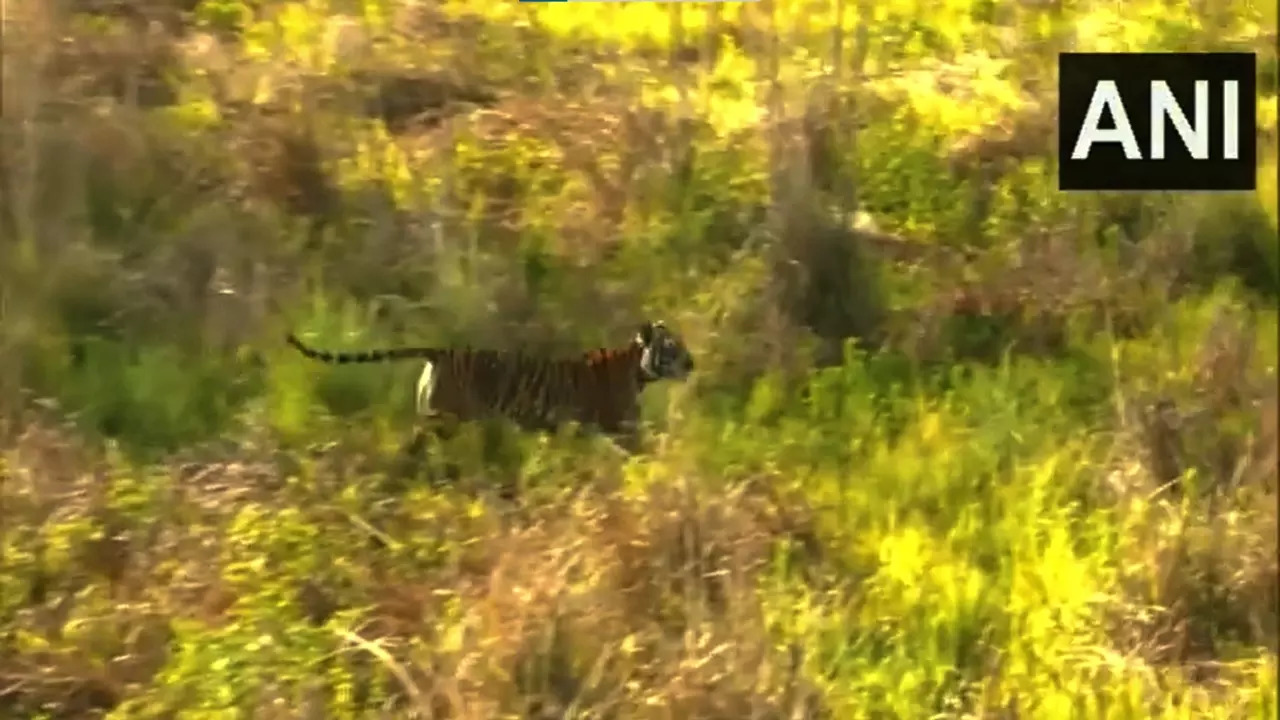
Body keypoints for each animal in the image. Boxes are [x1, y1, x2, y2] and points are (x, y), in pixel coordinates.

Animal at [285, 320, 696, 448]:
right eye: (671, 348)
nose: (692, 363)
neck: (637, 368)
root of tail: (442, 351)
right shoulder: (621, 426)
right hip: (445, 418)